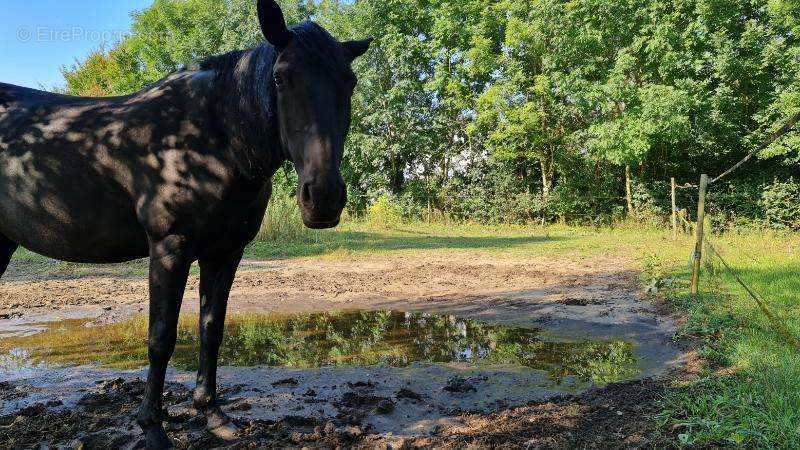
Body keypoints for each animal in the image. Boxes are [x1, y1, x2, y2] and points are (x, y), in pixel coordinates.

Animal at [0, 1, 370, 448]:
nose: (324, 197)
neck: (207, 141)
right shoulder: (169, 248)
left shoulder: (225, 254)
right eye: (281, 78)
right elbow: (161, 338)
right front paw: (153, 428)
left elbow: (211, 329)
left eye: (349, 82)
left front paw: (212, 413)